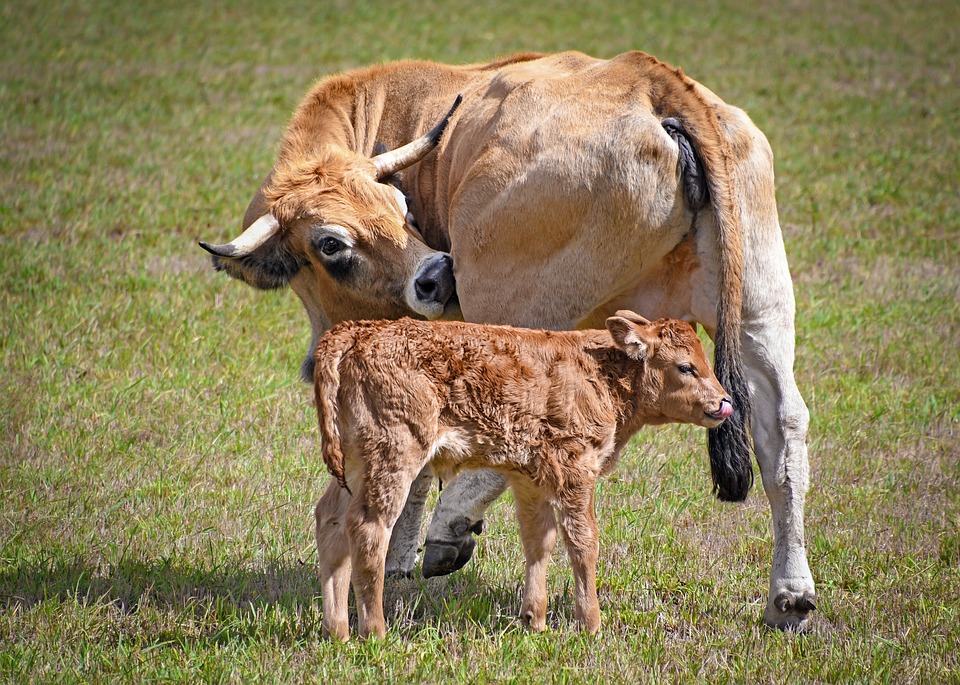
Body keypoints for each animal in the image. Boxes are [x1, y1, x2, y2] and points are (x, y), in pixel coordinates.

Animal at [312, 312, 732, 640]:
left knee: (330, 521)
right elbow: (583, 543)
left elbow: (538, 541)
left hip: (355, 465)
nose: (724, 402)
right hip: (393, 457)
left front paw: (535, 619)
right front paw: (591, 623)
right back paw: (375, 631)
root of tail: (357, 331)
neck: (601, 373)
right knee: (368, 529)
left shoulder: (530, 479)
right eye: (685, 366)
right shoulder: (575, 471)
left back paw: (338, 630)